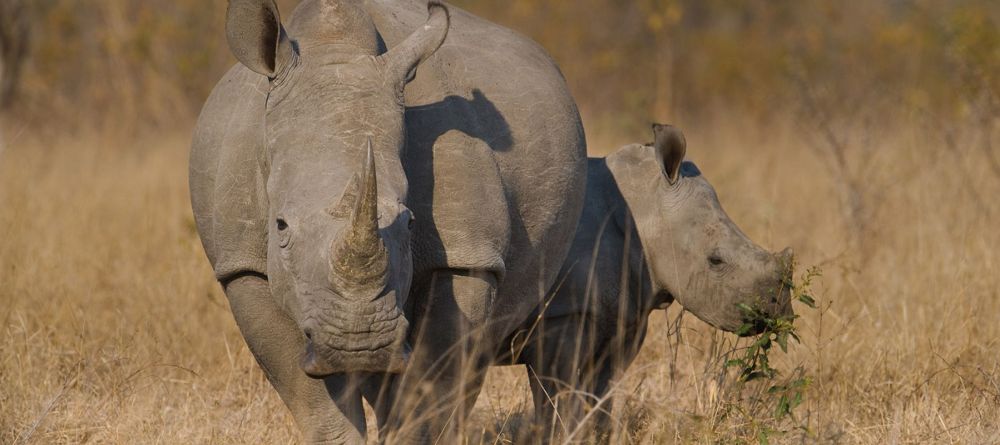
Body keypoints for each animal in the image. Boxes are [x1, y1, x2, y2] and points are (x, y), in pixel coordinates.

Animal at [189, 1, 584, 442]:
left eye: (410, 223)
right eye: (280, 226)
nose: (359, 342)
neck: (334, 52)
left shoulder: (468, 254)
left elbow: (430, 387)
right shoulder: (242, 264)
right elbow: (310, 395)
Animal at [508, 123, 796, 438]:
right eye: (715, 260)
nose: (781, 311)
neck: (644, 208)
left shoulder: (622, 315)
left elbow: (599, 397)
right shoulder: (561, 315)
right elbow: (557, 398)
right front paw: (559, 436)